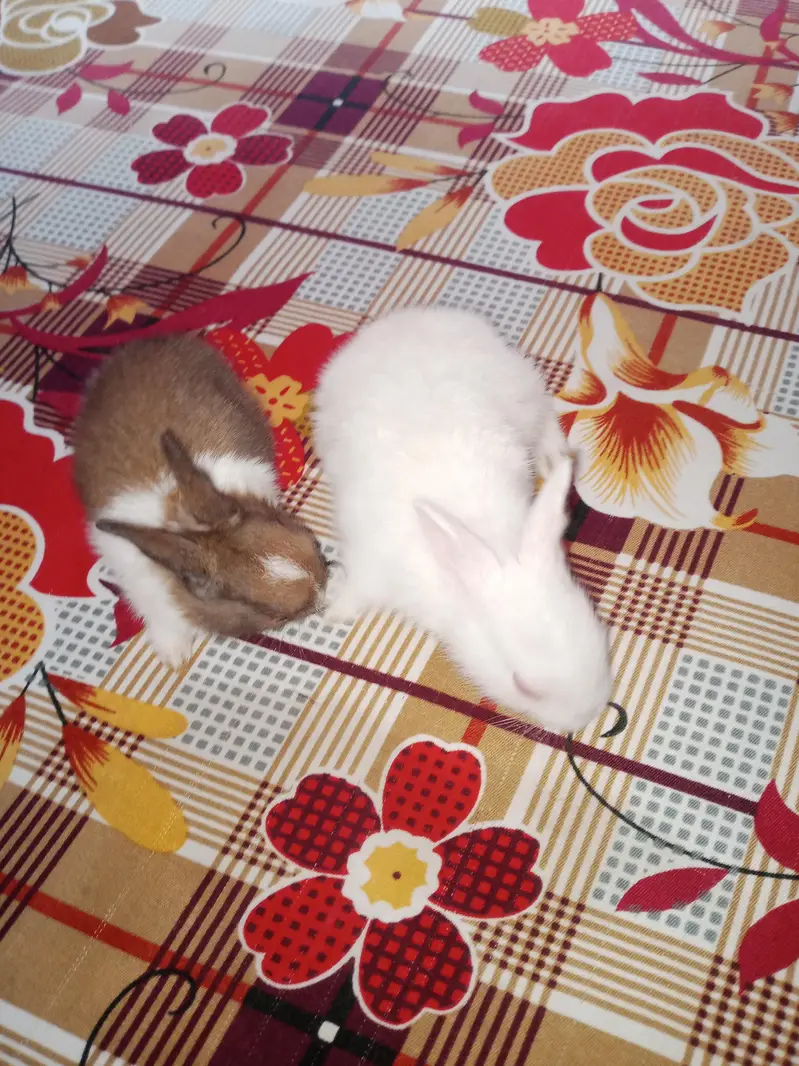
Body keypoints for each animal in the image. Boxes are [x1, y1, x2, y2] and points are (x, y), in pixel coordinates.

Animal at [72, 333, 328, 668]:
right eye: (276, 615)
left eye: (316, 543)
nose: (324, 595)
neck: (179, 522)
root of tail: (146, 342)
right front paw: (174, 655)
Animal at [313, 307, 612, 734]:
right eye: (523, 685)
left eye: (601, 637)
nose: (585, 718)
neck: (494, 541)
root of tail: (409, 318)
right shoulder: (372, 562)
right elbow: (358, 588)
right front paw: (335, 610)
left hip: (520, 391)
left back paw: (555, 460)